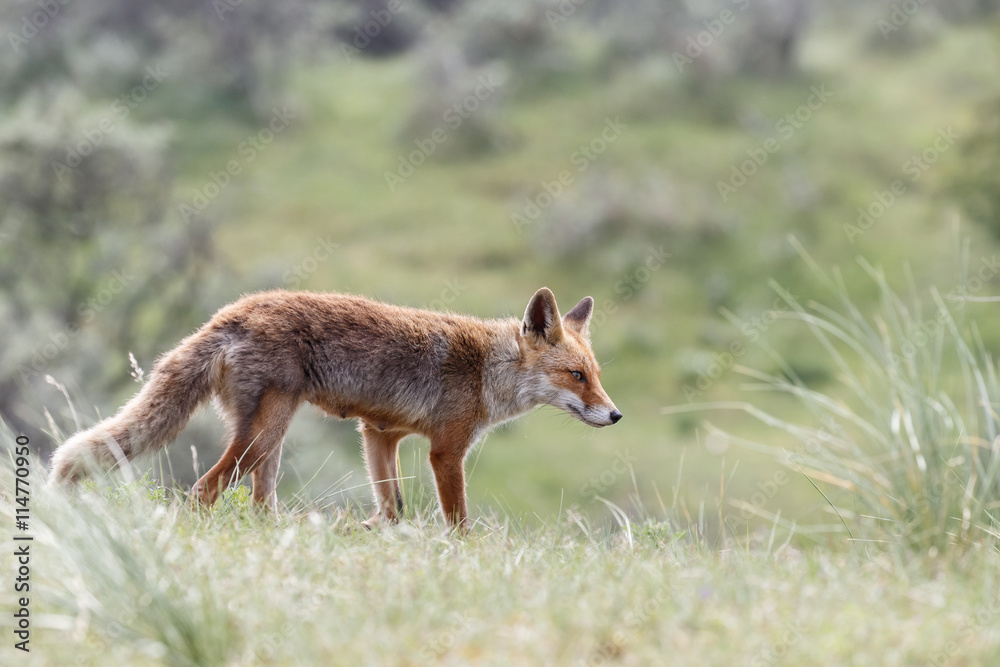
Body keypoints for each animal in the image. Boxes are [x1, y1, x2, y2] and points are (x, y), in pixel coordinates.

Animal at [48, 287, 621, 527]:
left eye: (597, 376)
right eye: (576, 376)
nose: (616, 416)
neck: (486, 369)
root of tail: (231, 312)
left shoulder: (379, 434)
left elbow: (391, 510)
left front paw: (371, 535)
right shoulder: (445, 452)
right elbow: (457, 522)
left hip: (269, 443)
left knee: (255, 503)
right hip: (263, 435)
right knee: (202, 490)